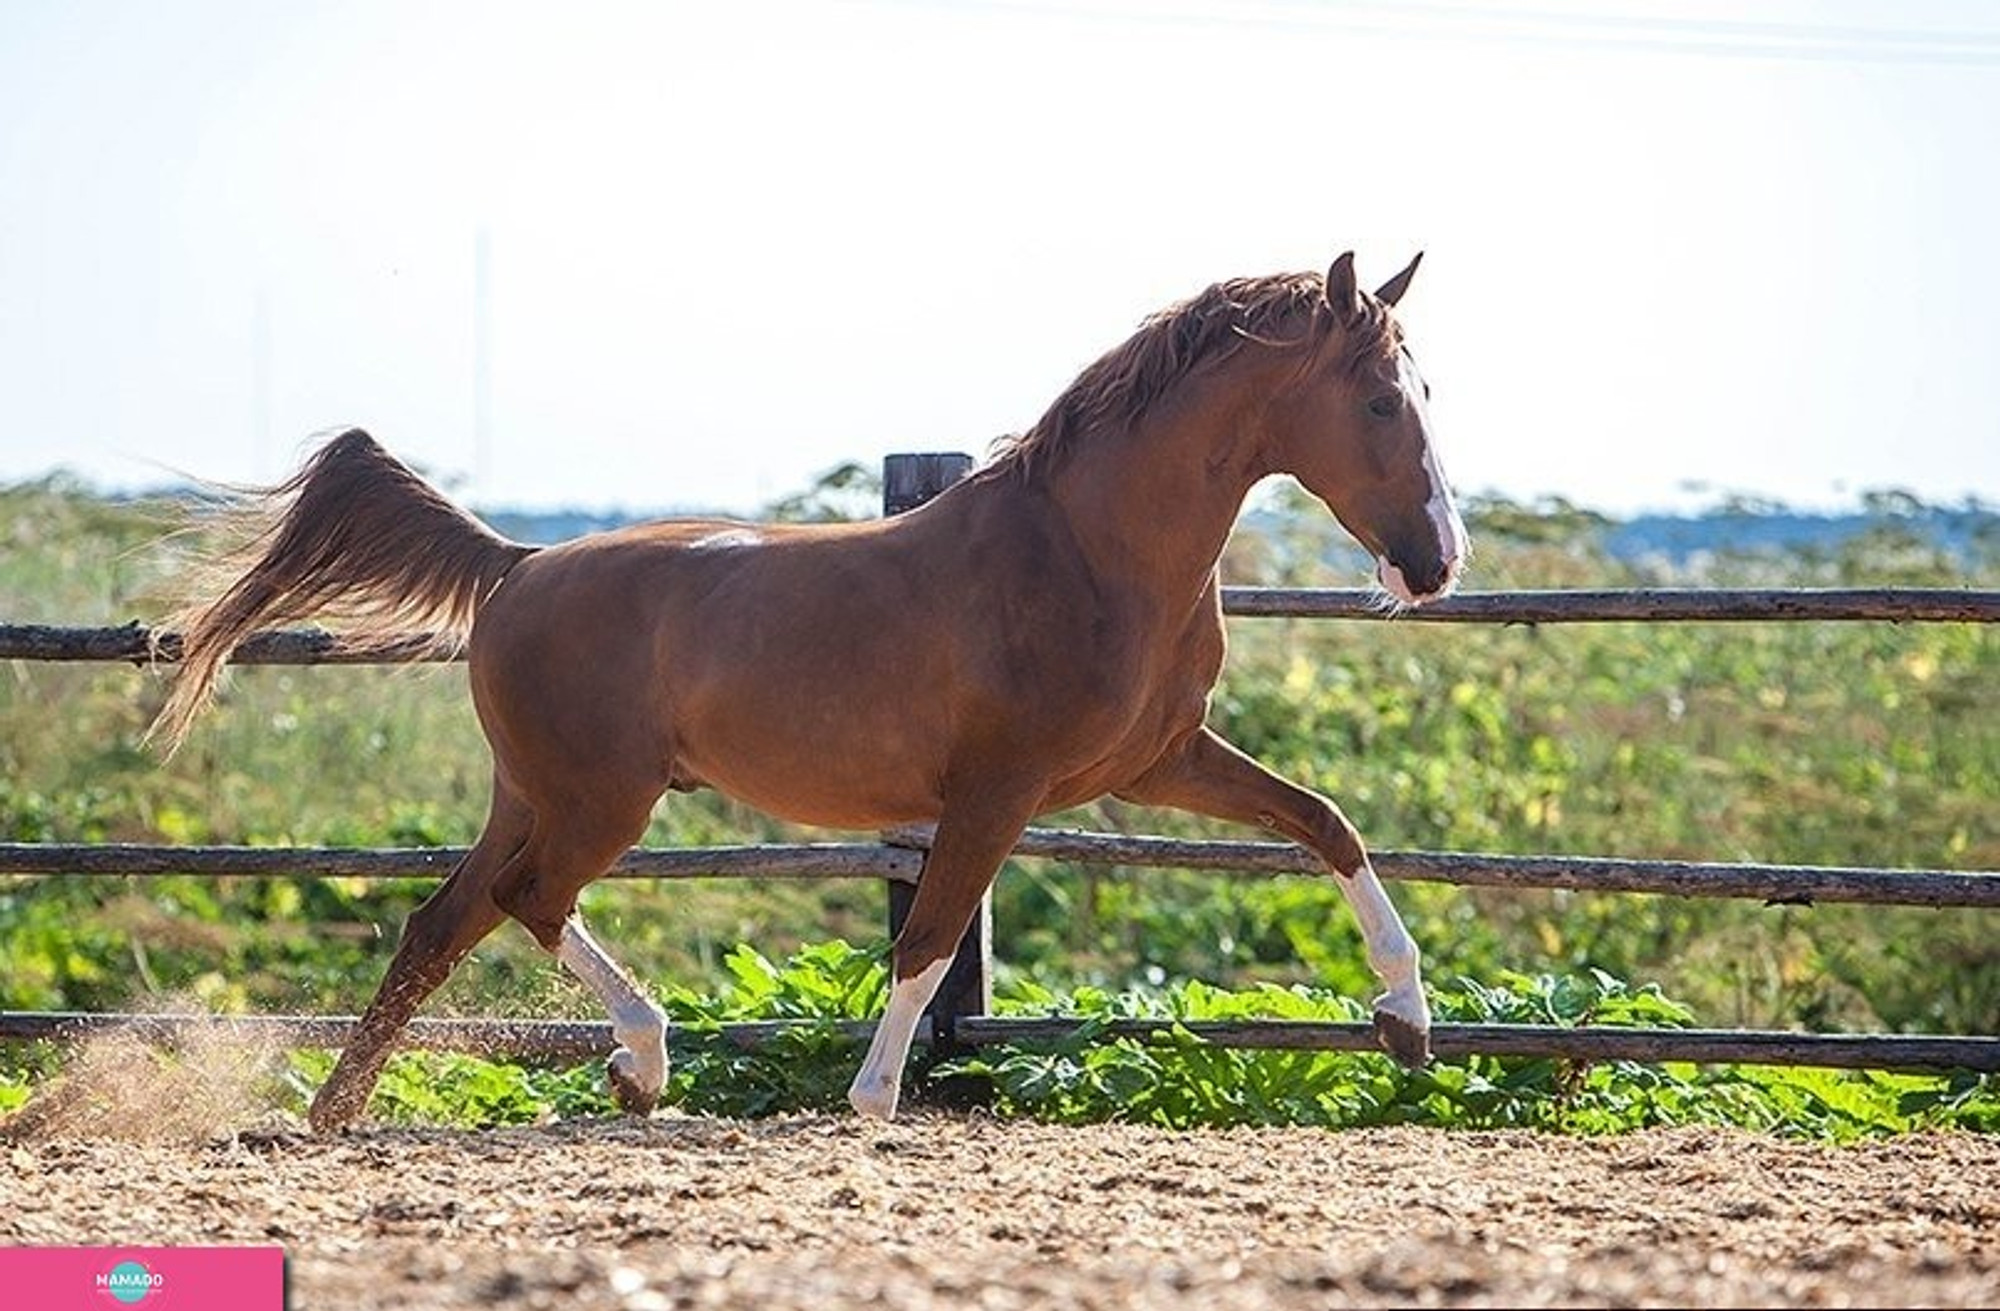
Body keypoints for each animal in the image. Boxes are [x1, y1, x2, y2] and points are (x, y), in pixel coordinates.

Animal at [152, 253, 1472, 1127]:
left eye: (1421, 394)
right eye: (1375, 398)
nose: (1434, 564)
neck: (1089, 552)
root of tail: (516, 564)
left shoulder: (1155, 762)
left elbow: (1325, 826)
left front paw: (1404, 1025)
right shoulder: (997, 788)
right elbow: (929, 939)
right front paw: (871, 1097)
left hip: (534, 794)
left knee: (444, 921)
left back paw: (337, 1113)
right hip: (600, 800)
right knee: (527, 901)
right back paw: (640, 1062)